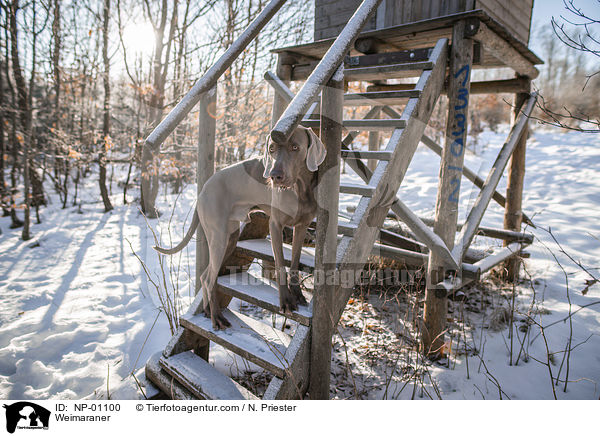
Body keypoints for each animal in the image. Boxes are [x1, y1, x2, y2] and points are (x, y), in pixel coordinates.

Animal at [152, 126, 326, 330]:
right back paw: (216, 318)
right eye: (272, 149)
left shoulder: (301, 226)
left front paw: (297, 294)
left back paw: (208, 311)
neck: (300, 188)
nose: (274, 176)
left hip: (231, 237)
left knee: (206, 276)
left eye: (295, 147)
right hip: (219, 238)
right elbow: (280, 264)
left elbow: (294, 262)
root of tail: (202, 191)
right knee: (209, 278)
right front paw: (285, 301)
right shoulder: (275, 226)